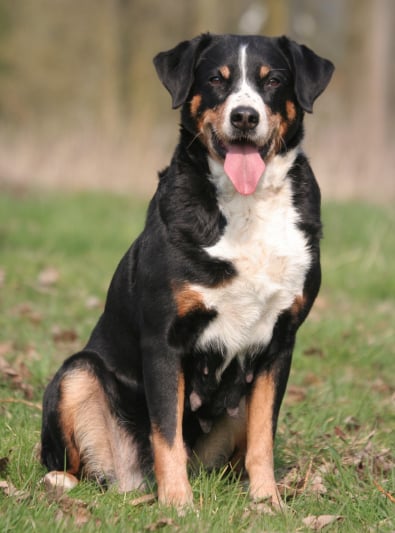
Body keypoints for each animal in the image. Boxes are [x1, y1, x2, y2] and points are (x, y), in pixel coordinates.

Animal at [41, 33, 334, 508]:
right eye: (217, 78)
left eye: (273, 81)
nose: (245, 116)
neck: (245, 206)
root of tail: (131, 478)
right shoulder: (164, 340)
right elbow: (167, 433)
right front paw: (178, 505)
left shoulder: (280, 344)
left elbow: (263, 438)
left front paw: (267, 502)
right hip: (77, 372)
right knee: (70, 457)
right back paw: (63, 482)